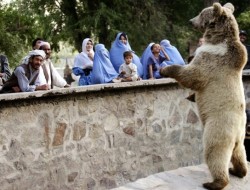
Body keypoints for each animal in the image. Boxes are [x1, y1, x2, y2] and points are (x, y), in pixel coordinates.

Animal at [160, 2, 248, 190]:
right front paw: (190, 97)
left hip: (218, 126)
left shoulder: (212, 59)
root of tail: (237, 131)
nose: (190, 21)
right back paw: (238, 171)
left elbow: (192, 75)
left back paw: (215, 182)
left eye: (201, 13)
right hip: (240, 135)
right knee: (240, 153)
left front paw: (165, 69)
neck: (217, 39)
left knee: (214, 152)